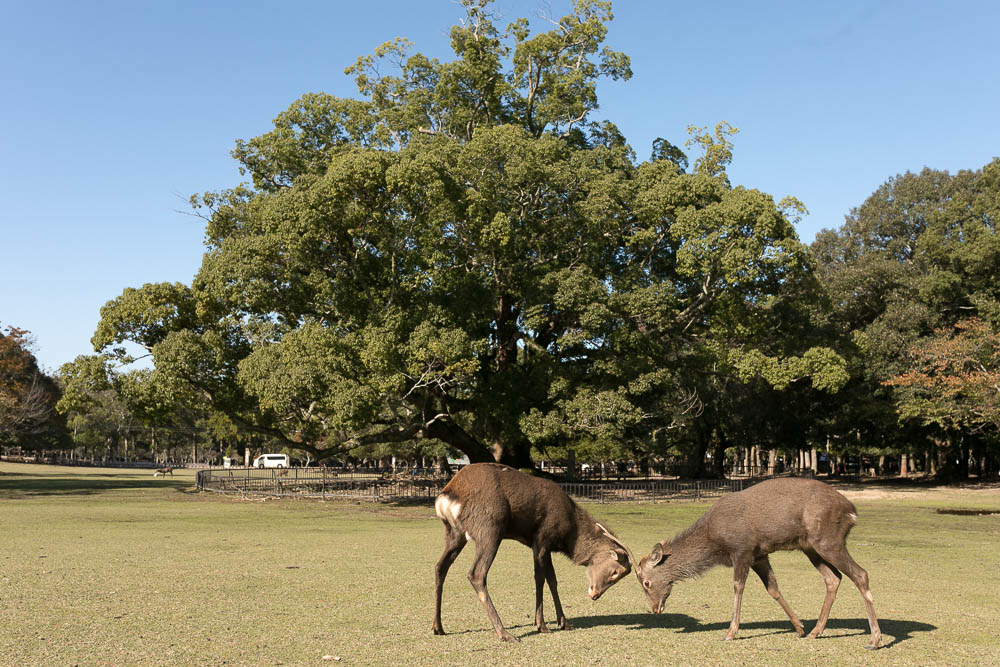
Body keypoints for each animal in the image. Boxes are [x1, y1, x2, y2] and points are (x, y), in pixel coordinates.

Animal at [430, 464, 632, 640]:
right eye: (615, 572)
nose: (595, 595)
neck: (569, 533)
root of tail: (446, 497)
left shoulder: (547, 547)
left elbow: (553, 580)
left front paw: (564, 622)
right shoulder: (541, 539)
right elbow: (539, 578)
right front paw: (541, 625)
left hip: (455, 534)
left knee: (440, 567)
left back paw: (438, 627)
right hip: (490, 528)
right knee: (476, 573)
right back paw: (505, 634)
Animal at [636, 478, 880, 648]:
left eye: (646, 583)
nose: (655, 609)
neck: (715, 543)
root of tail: (852, 512)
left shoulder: (742, 550)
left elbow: (738, 587)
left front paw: (730, 632)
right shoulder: (759, 555)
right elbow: (773, 588)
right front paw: (799, 627)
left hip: (828, 539)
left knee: (861, 574)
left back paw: (874, 640)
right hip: (810, 546)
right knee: (833, 578)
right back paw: (815, 631)